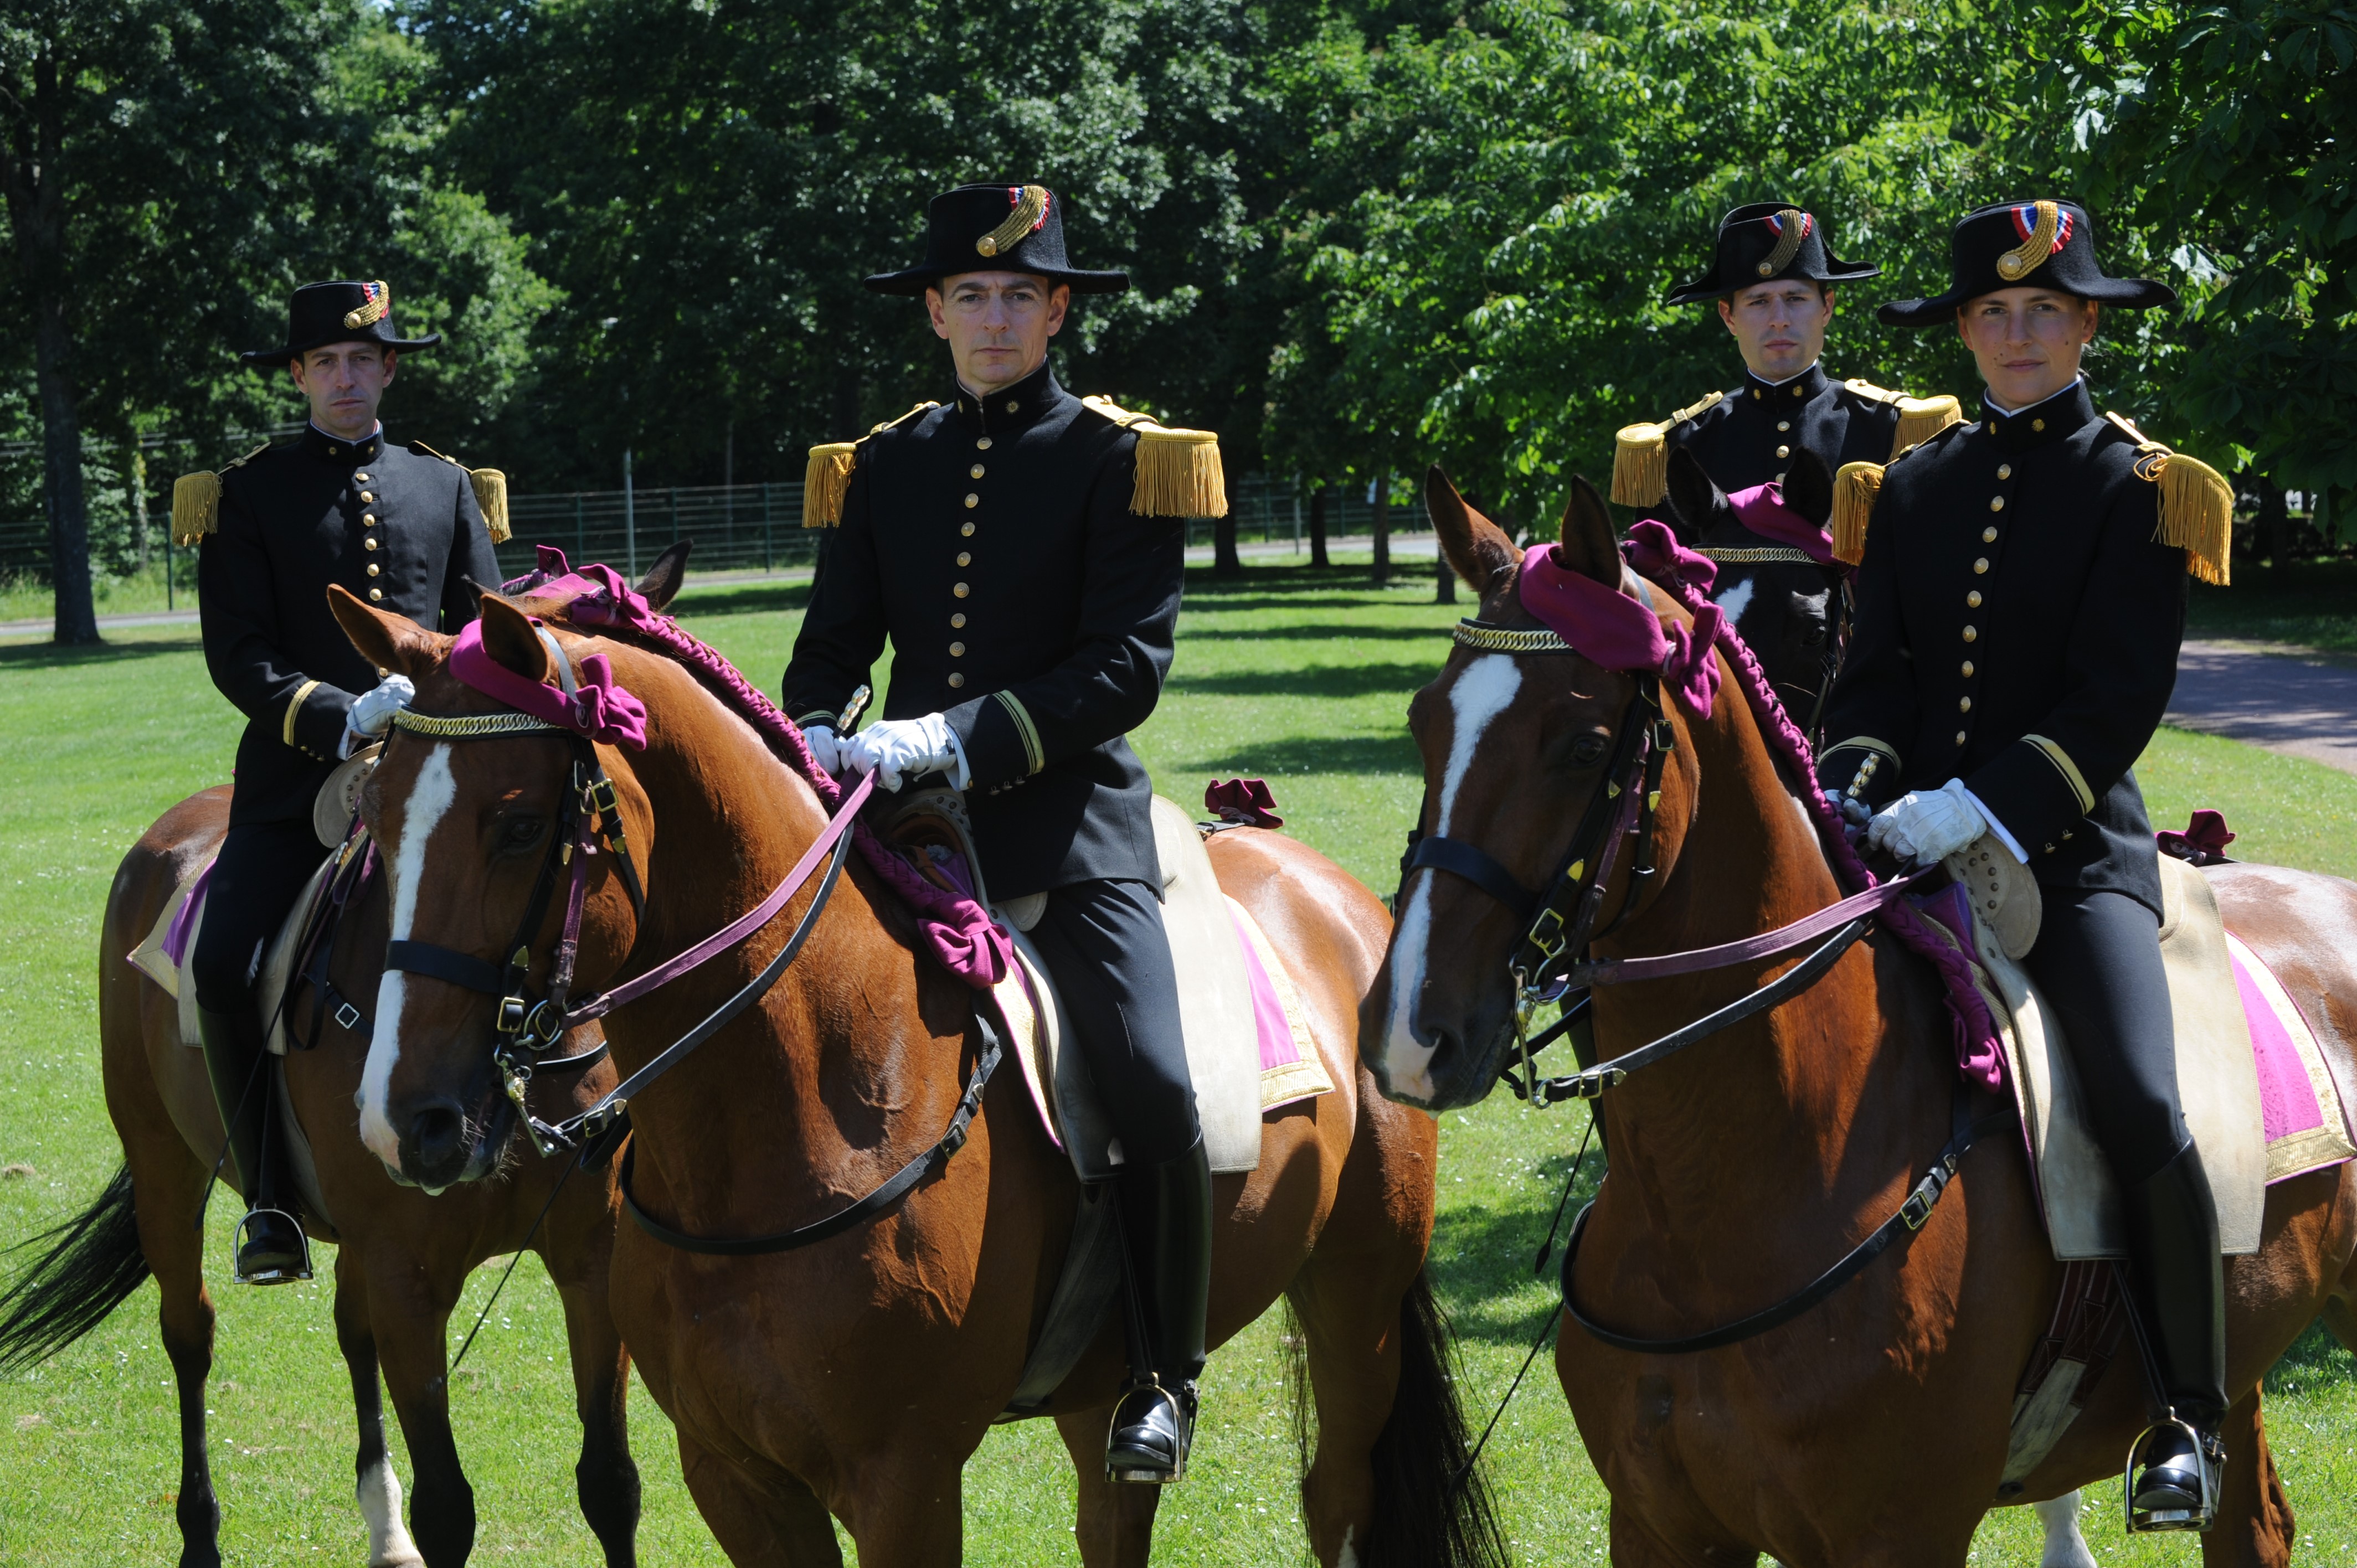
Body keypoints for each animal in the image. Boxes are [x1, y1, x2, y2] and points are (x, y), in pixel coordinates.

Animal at [318, 572, 1508, 1565]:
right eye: (375, 813)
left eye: (519, 826)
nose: (403, 1119)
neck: (795, 1108)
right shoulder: (734, 1478)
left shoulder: (906, 1483)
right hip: (1106, 1378)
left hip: (1355, 1300)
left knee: (1333, 1494)